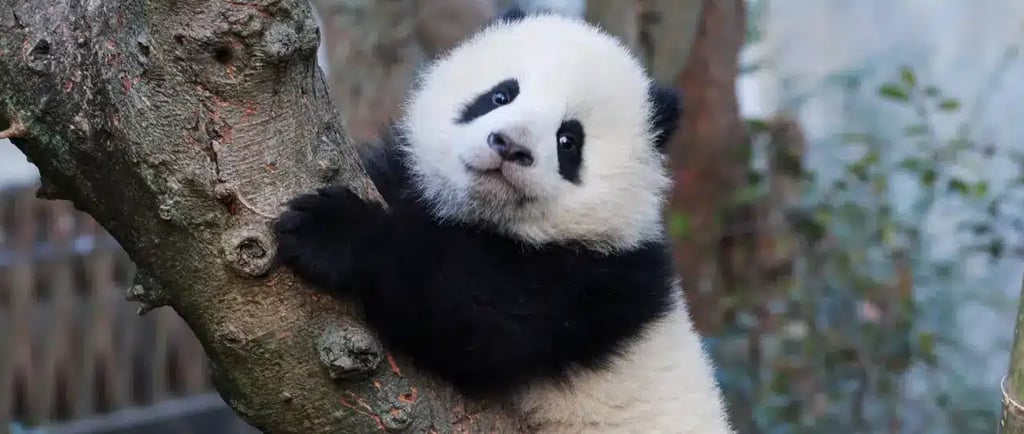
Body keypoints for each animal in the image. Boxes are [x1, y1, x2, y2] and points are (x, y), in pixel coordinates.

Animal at [273, 9, 733, 434]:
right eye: (500, 96)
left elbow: (476, 316)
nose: (510, 146)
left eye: (568, 140)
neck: (487, 217)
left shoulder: (594, 282)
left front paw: (332, 232)